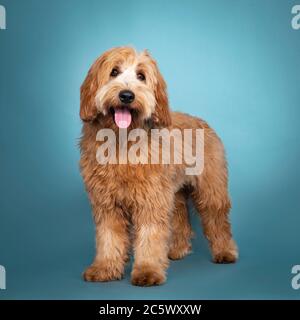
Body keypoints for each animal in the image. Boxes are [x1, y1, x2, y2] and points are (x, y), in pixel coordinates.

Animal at [78, 46, 238, 286]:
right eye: (114, 71)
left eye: (141, 76)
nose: (127, 96)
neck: (122, 141)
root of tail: (202, 121)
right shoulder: (106, 203)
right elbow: (109, 237)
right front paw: (105, 268)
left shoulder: (150, 200)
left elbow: (149, 236)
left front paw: (147, 270)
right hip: (174, 192)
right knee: (180, 219)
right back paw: (177, 250)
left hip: (211, 189)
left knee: (217, 220)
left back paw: (225, 252)